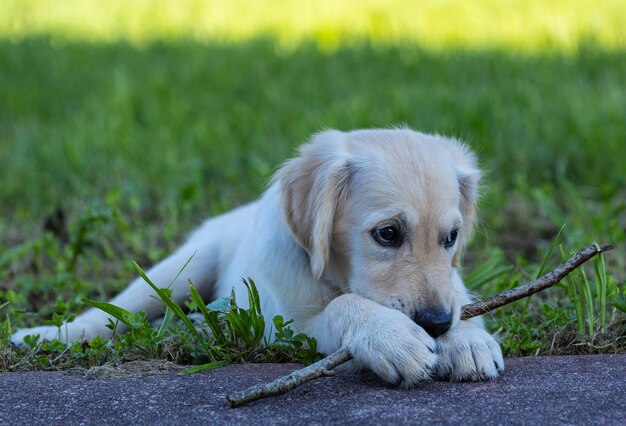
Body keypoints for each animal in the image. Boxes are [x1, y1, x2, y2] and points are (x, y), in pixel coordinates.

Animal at [11, 128, 502, 384]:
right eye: (388, 234)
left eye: (451, 237)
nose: (435, 323)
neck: (332, 274)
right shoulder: (287, 326)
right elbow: (344, 306)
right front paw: (393, 337)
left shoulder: (451, 283)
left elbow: (460, 298)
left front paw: (466, 338)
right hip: (181, 268)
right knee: (110, 315)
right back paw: (47, 334)